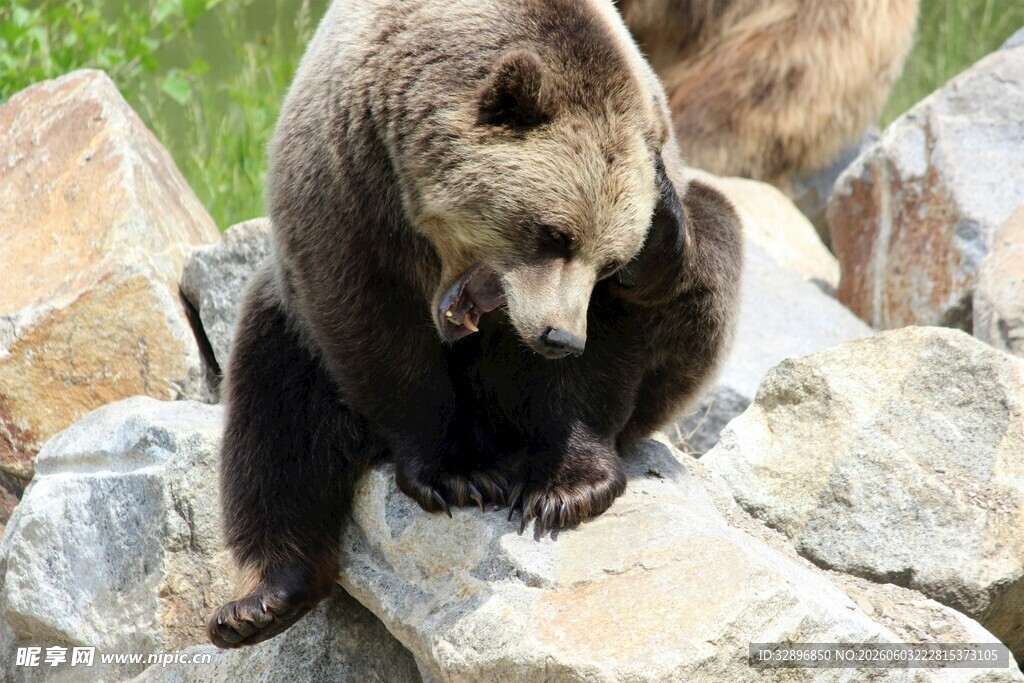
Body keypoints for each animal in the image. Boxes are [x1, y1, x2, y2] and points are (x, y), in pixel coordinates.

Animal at [206, 0, 742, 649]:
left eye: (608, 262)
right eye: (553, 234)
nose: (559, 338)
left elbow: (607, 354)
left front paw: (564, 487)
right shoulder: (347, 187)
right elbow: (372, 334)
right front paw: (458, 474)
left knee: (713, 240)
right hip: (287, 317)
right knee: (274, 408)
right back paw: (262, 600)